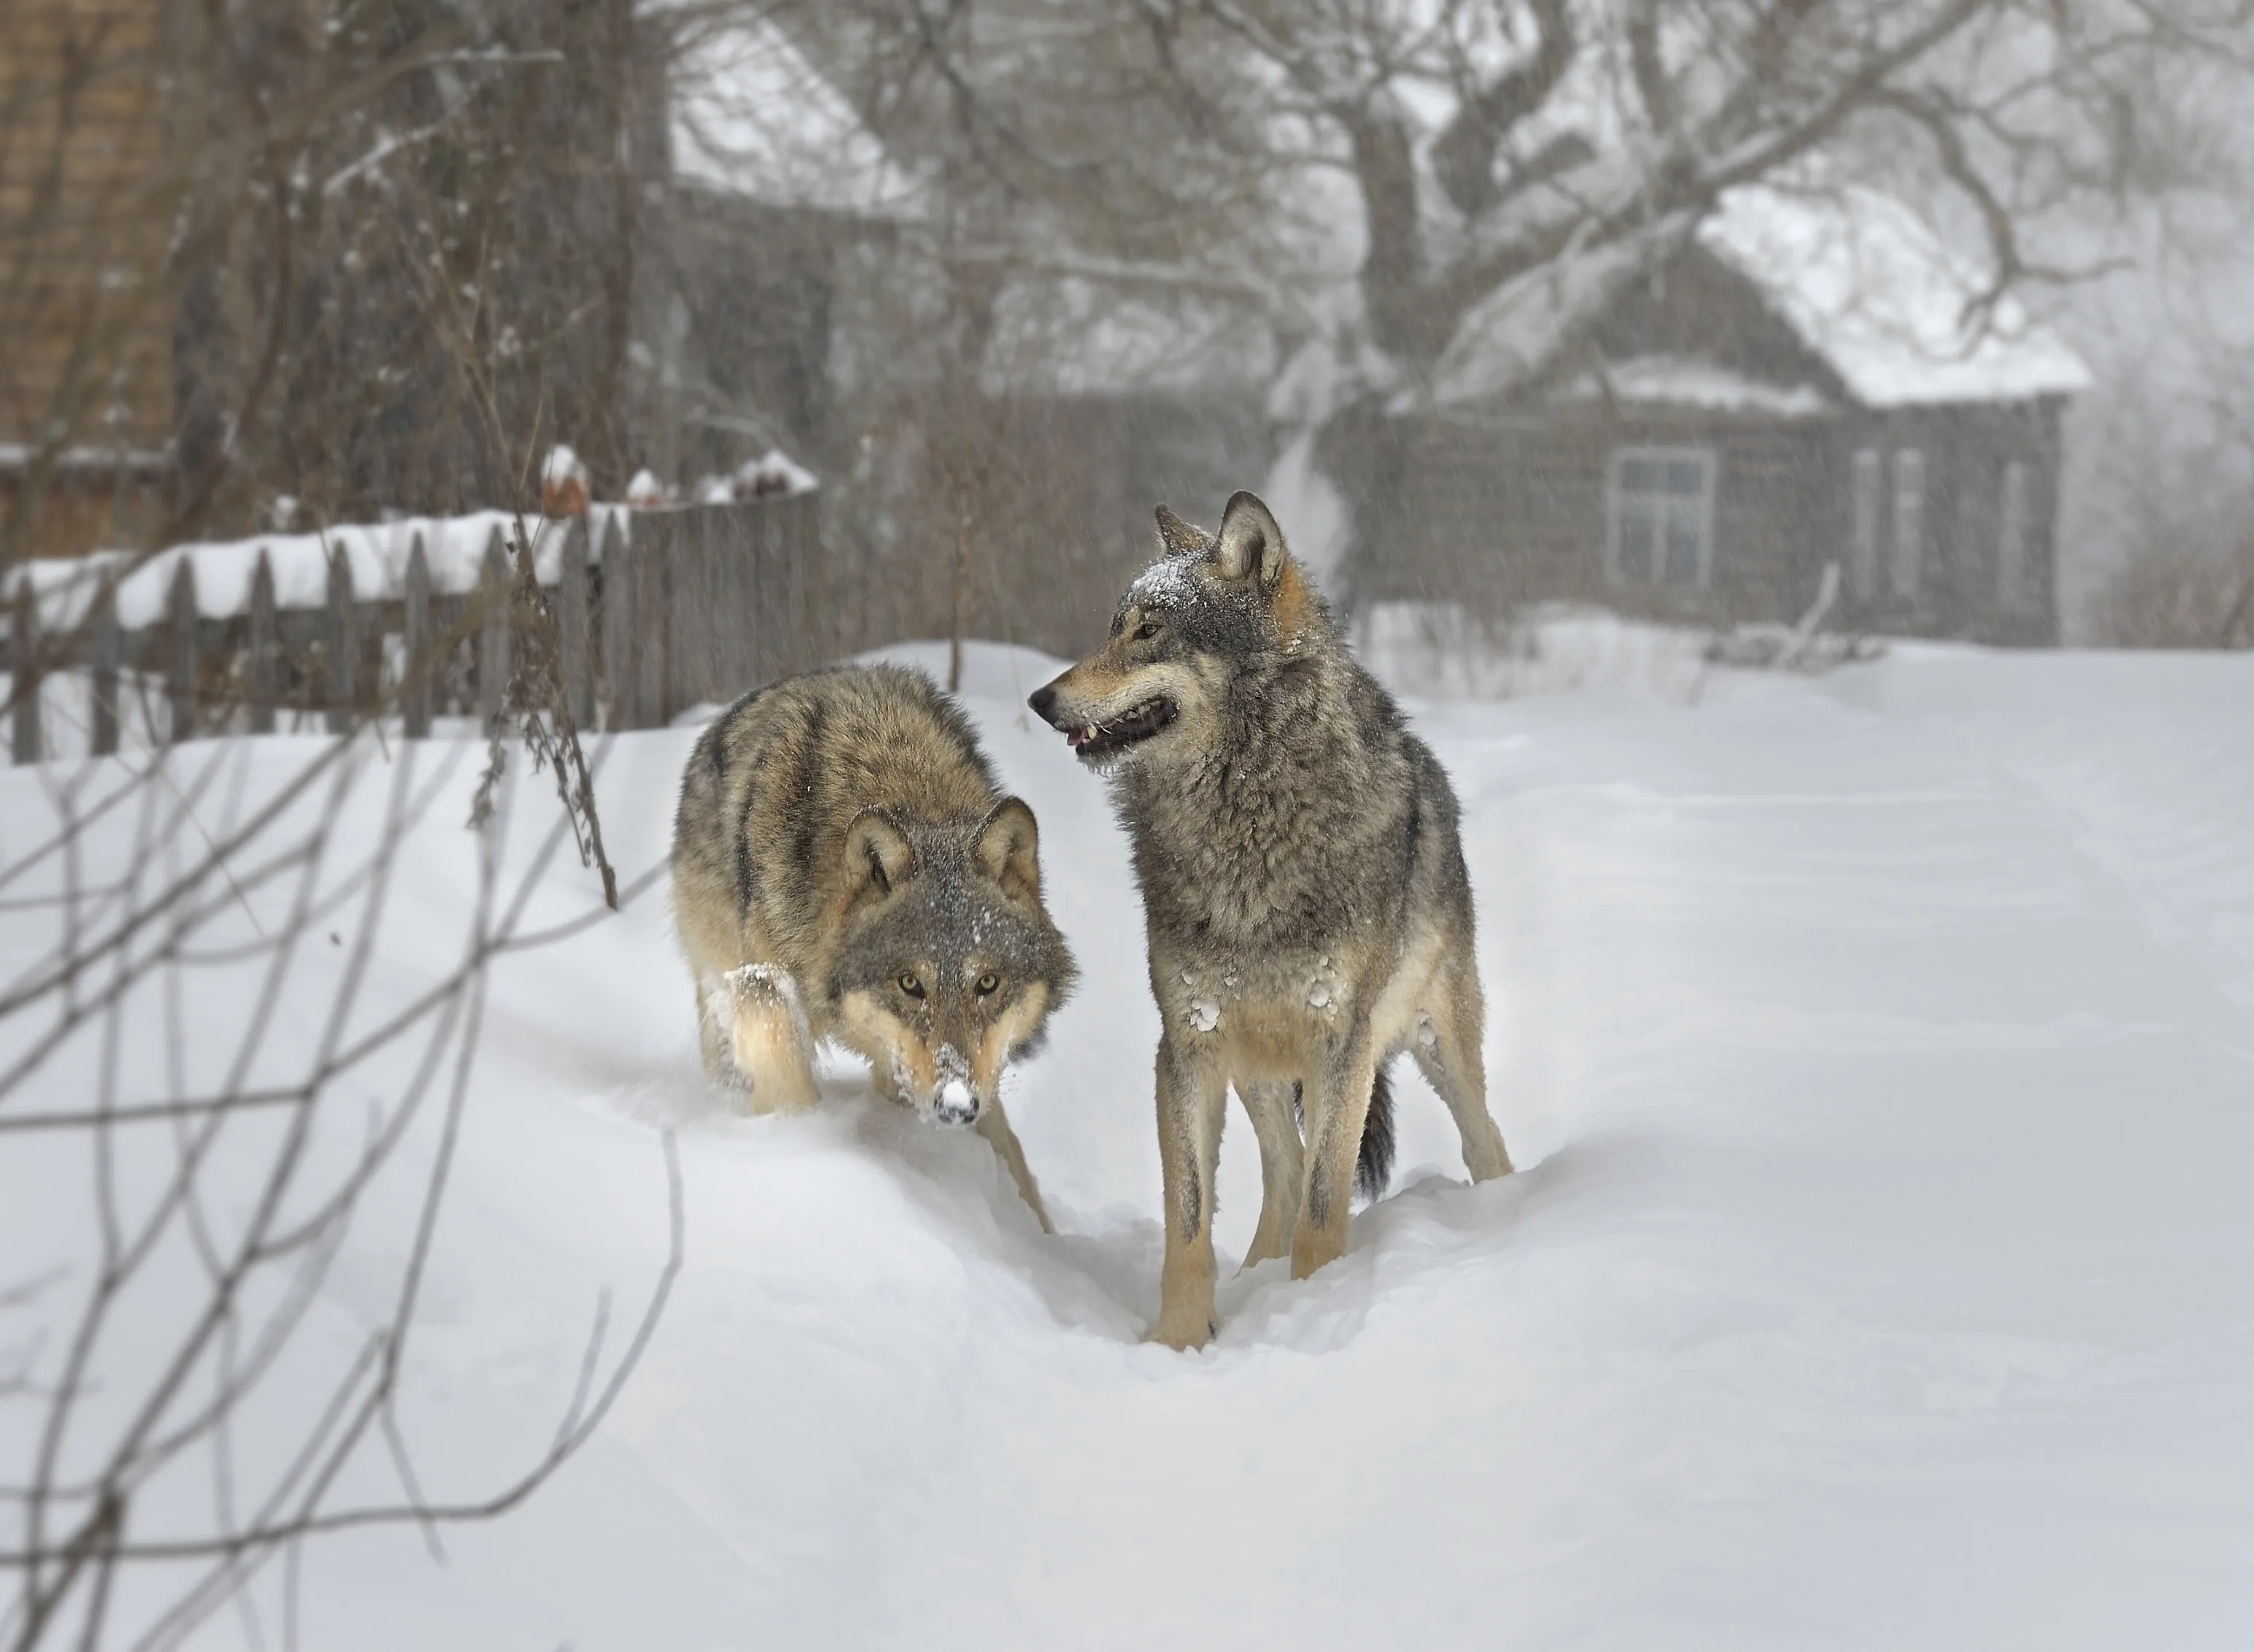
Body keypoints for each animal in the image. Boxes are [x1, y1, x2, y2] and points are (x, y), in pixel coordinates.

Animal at [672, 664, 1077, 1230]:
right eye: (910, 983)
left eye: (987, 983)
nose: (956, 1108)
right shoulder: (764, 989)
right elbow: (788, 1089)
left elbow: (1007, 1146)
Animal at [1029, 492, 1511, 1346]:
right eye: (1114, 626)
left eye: (1150, 630)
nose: (1041, 700)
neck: (1244, 823)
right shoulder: (1187, 1044)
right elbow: (1188, 1222)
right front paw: (1180, 1340)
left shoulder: (1343, 1045)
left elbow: (1324, 1207)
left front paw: (1317, 1312)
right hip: (1257, 1067)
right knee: (1283, 1172)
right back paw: (1257, 1278)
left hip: (1433, 1045)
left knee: (1481, 1139)